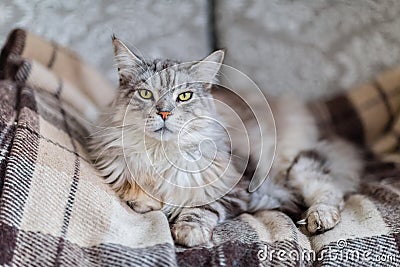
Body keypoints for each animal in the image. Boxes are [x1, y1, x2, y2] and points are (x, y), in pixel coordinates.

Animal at [88, 36, 362, 248]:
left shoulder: (239, 187)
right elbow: (140, 196)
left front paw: (190, 232)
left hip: (298, 166)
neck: (163, 154)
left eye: (184, 96)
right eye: (146, 94)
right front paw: (148, 199)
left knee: (330, 191)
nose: (164, 113)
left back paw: (319, 219)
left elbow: (203, 207)